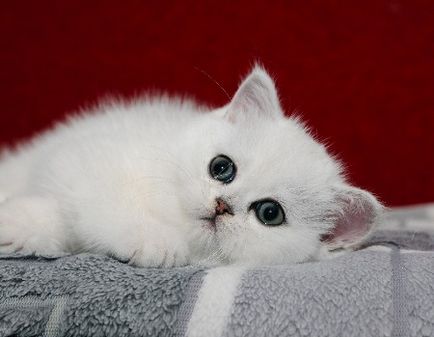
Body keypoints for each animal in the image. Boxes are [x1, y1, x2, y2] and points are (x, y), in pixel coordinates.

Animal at [0, 65, 382, 266]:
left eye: (270, 213)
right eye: (222, 168)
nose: (222, 205)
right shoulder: (86, 160)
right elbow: (96, 205)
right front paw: (154, 239)